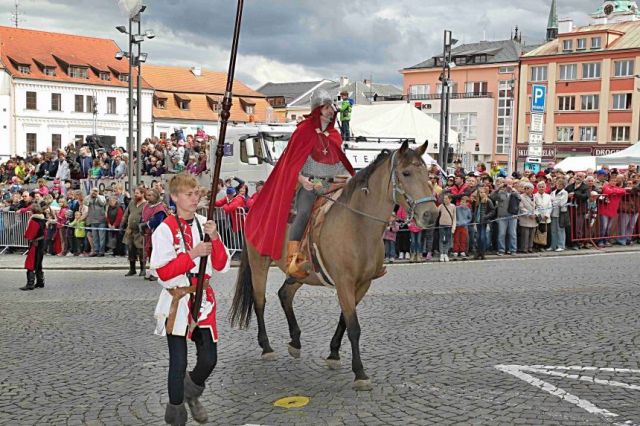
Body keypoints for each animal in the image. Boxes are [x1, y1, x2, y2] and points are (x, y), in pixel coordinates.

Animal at [228, 140, 438, 390]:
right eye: (406, 173)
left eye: (427, 173)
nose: (431, 215)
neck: (358, 225)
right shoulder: (344, 282)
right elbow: (354, 327)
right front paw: (360, 373)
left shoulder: (362, 284)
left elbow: (344, 320)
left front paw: (333, 354)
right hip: (259, 262)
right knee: (260, 301)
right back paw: (267, 347)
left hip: (301, 273)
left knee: (284, 294)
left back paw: (295, 341)